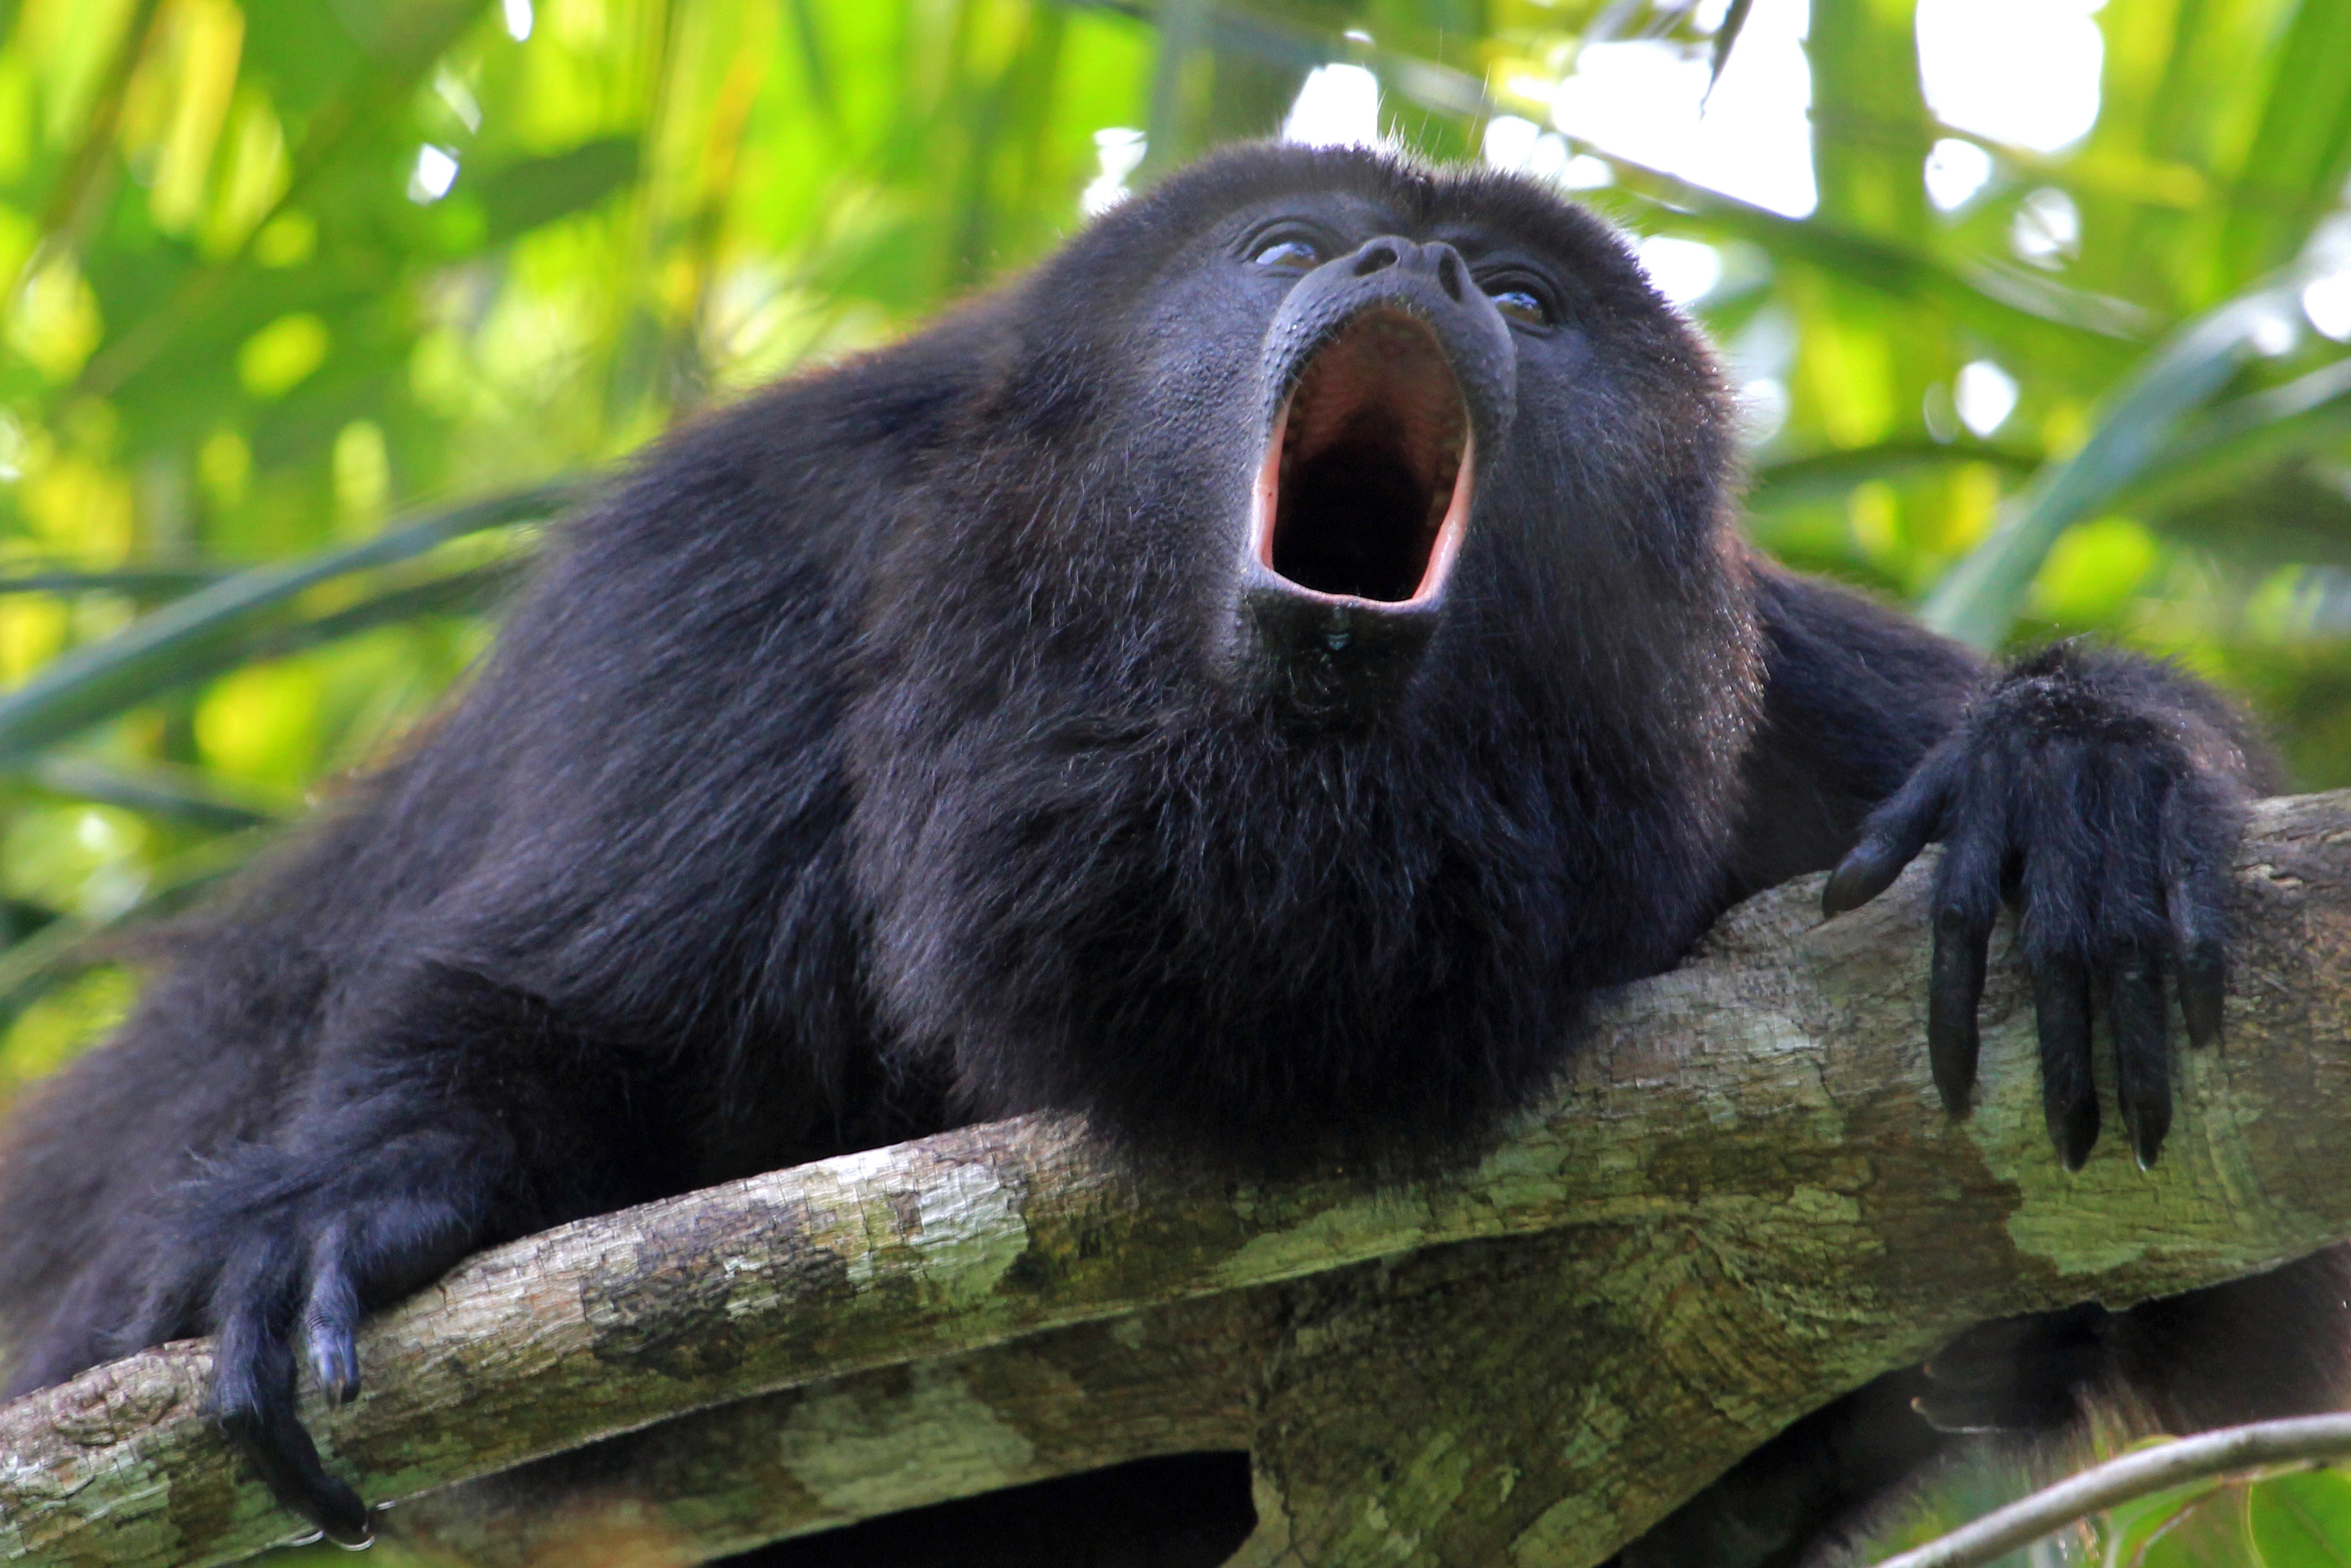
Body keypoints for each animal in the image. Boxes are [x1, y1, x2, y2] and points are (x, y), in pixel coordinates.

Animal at [0, 142, 2336, 1567]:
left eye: (1519, 297)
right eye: (1290, 253)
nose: (1410, 260)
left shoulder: (1780, 710)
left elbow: (2234, 1287)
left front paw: (2074, 776)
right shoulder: (739, 567)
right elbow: (563, 1014)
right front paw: (365, 1194)